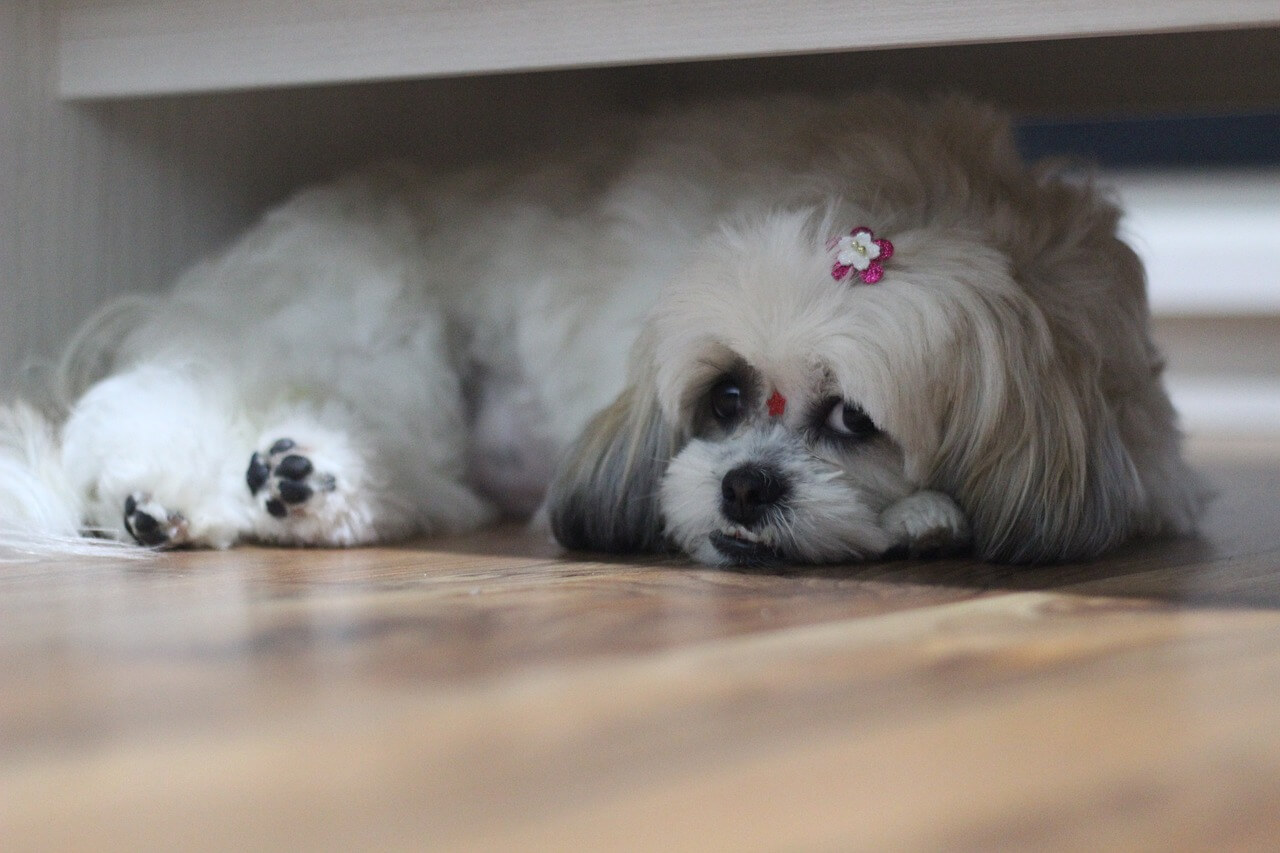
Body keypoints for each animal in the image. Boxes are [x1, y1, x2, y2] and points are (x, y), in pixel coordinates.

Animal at [0, 92, 1203, 563]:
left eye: (855, 418)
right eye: (725, 396)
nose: (744, 485)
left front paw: (924, 515)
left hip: (413, 421)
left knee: (391, 481)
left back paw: (292, 485)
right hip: (373, 334)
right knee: (155, 411)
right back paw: (182, 493)